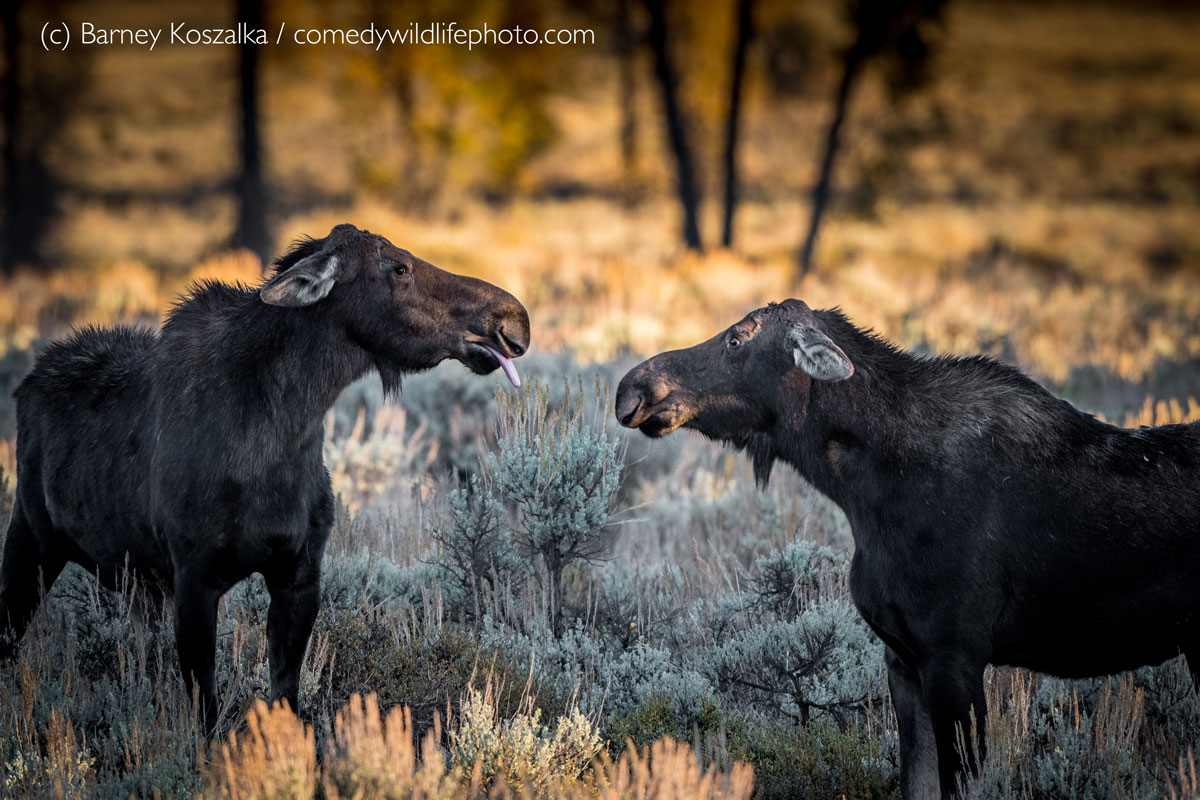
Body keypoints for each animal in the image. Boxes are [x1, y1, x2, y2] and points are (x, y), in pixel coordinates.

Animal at [0, 224, 528, 734]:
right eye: (398, 267)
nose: (512, 318)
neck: (282, 435)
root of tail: (26, 384)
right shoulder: (194, 579)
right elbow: (206, 714)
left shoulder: (299, 572)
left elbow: (285, 698)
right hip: (32, 540)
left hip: (136, 582)